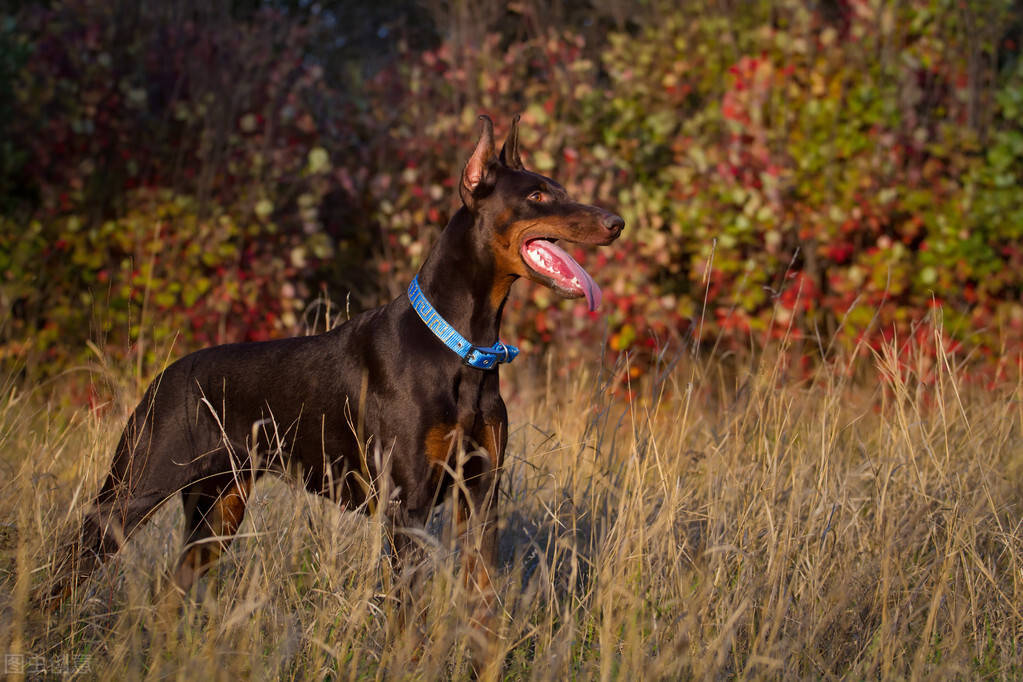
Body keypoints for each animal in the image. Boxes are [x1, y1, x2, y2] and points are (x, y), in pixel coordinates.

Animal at [49, 114, 621, 625]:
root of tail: (164, 375)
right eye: (538, 197)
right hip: (135, 489)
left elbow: (481, 606)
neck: (465, 347)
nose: (616, 223)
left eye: (561, 188)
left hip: (221, 505)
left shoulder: (481, 497)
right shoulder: (406, 506)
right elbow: (404, 622)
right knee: (69, 567)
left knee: (173, 588)